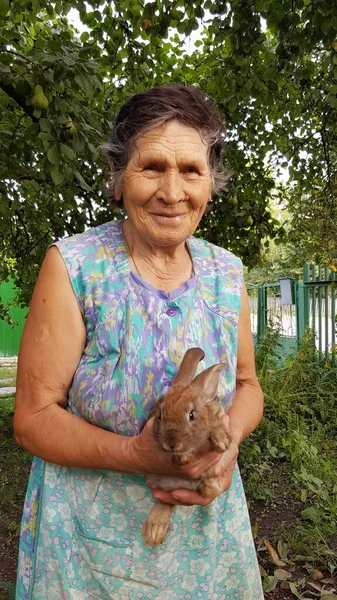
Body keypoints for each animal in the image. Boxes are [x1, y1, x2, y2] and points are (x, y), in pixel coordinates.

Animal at [141, 346, 231, 548]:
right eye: (160, 415)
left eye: (191, 414)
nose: (172, 443)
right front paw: (182, 457)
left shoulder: (216, 418)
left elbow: (217, 428)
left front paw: (222, 442)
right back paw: (154, 531)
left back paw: (211, 484)